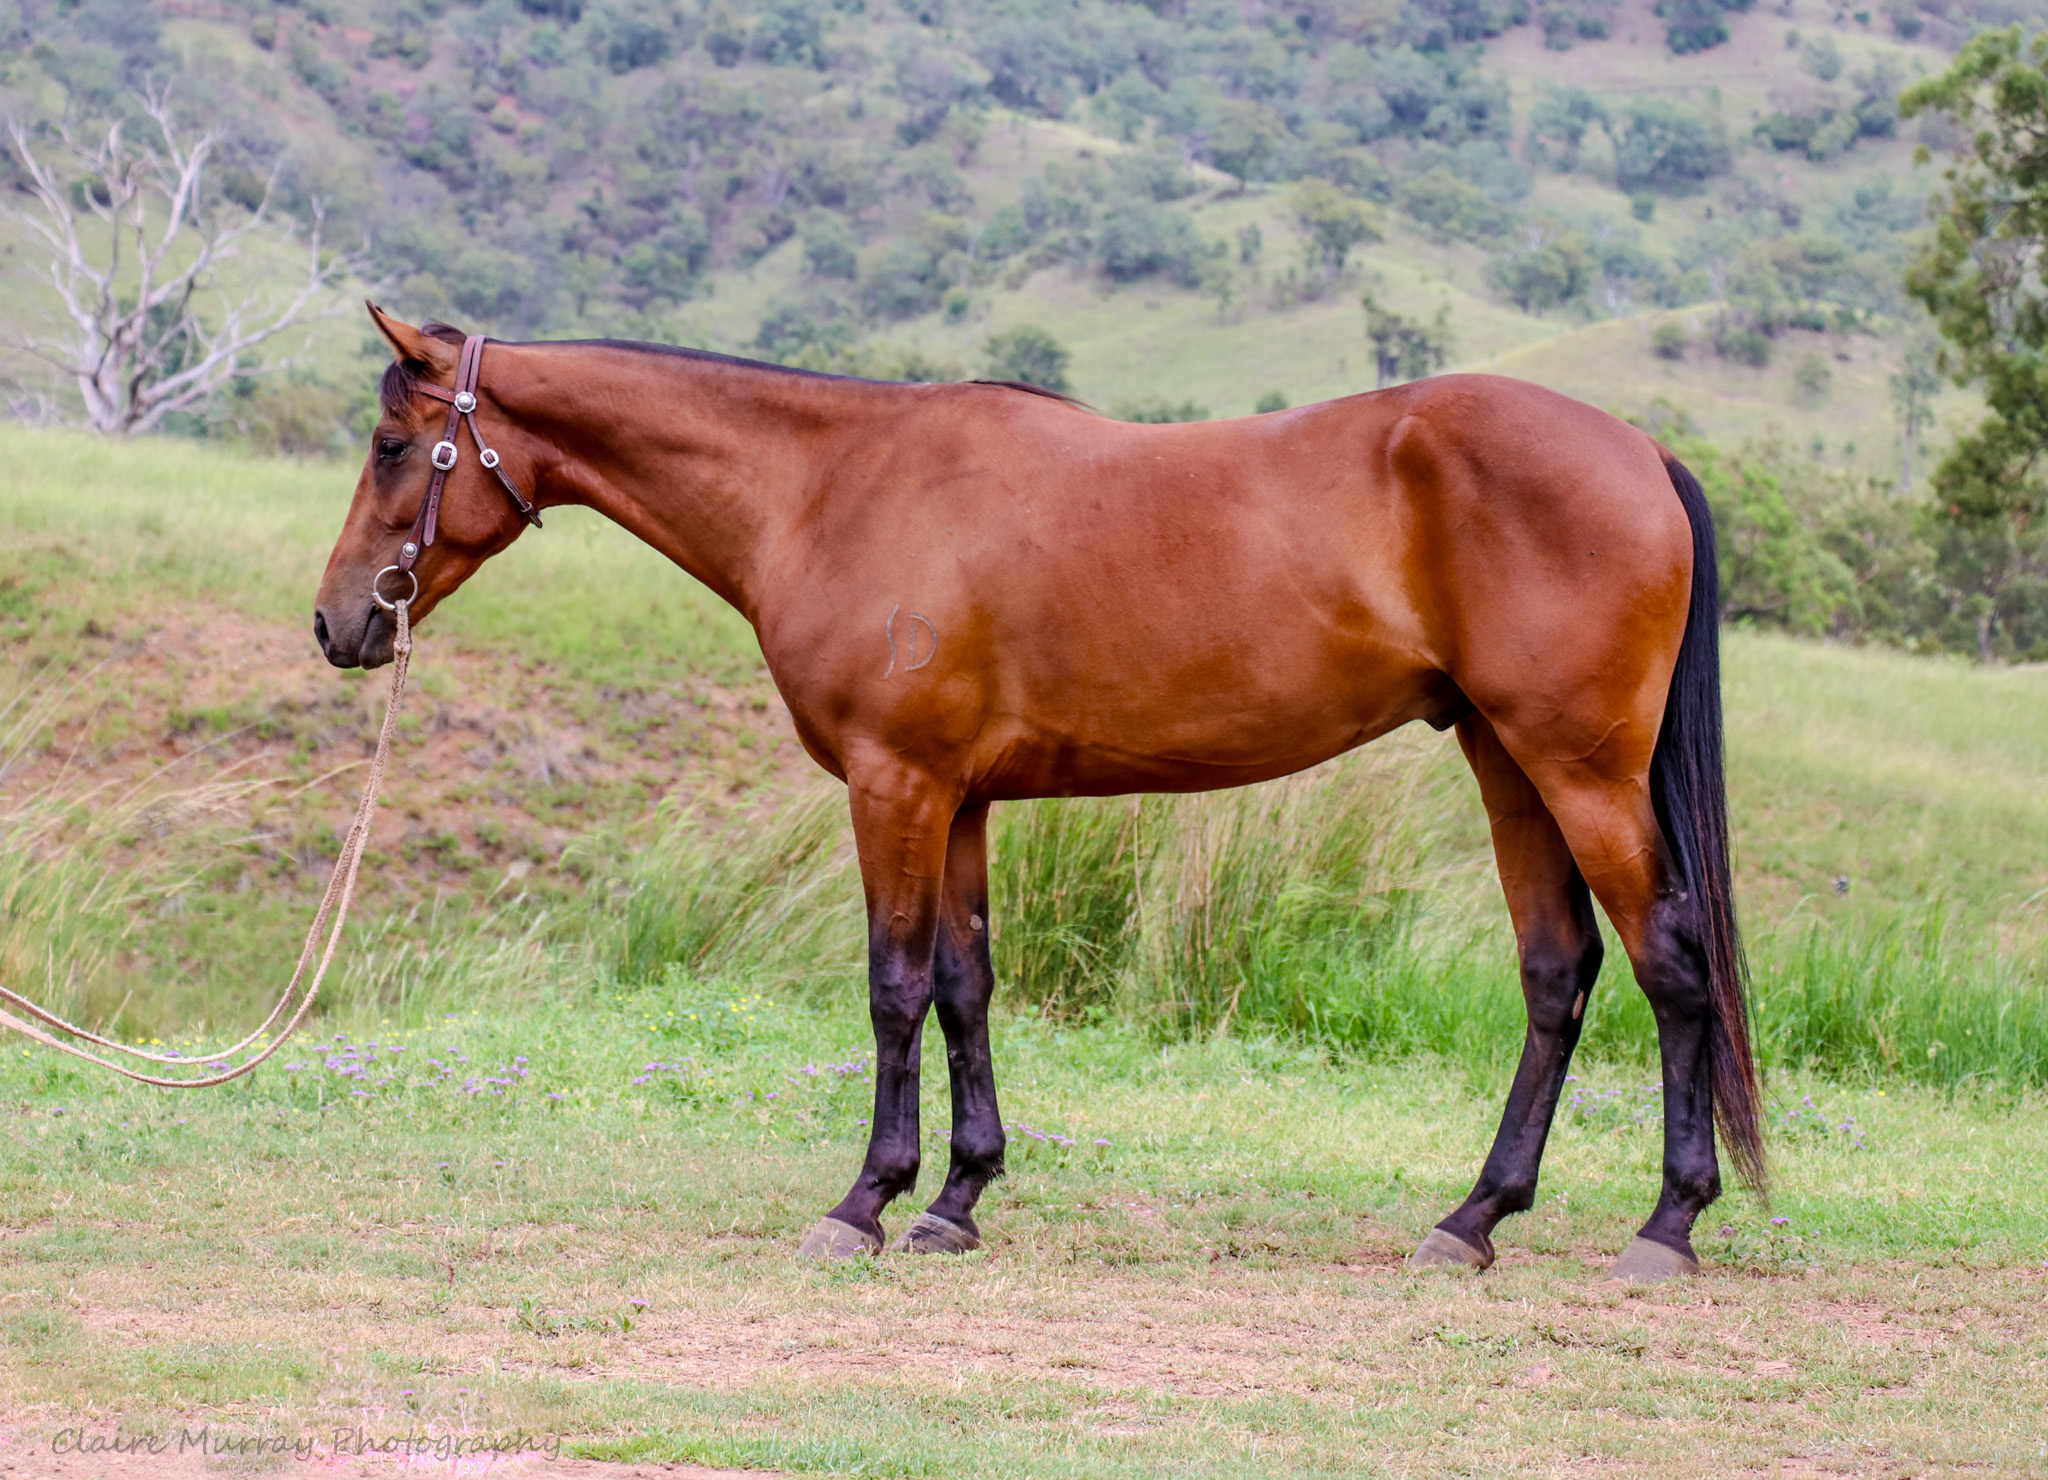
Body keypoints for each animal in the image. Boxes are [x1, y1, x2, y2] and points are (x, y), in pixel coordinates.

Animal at [316, 305, 1763, 1283]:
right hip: (1505, 762)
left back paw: (1666, 1225)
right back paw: (1472, 1219)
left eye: (392, 443)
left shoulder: (895, 787)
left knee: (1669, 960)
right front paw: (957, 1199)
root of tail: (1639, 451)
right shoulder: (958, 799)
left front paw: (864, 1201)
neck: (832, 486)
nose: (339, 624)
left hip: (1577, 770)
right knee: (1557, 970)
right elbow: (965, 986)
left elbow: (893, 986)